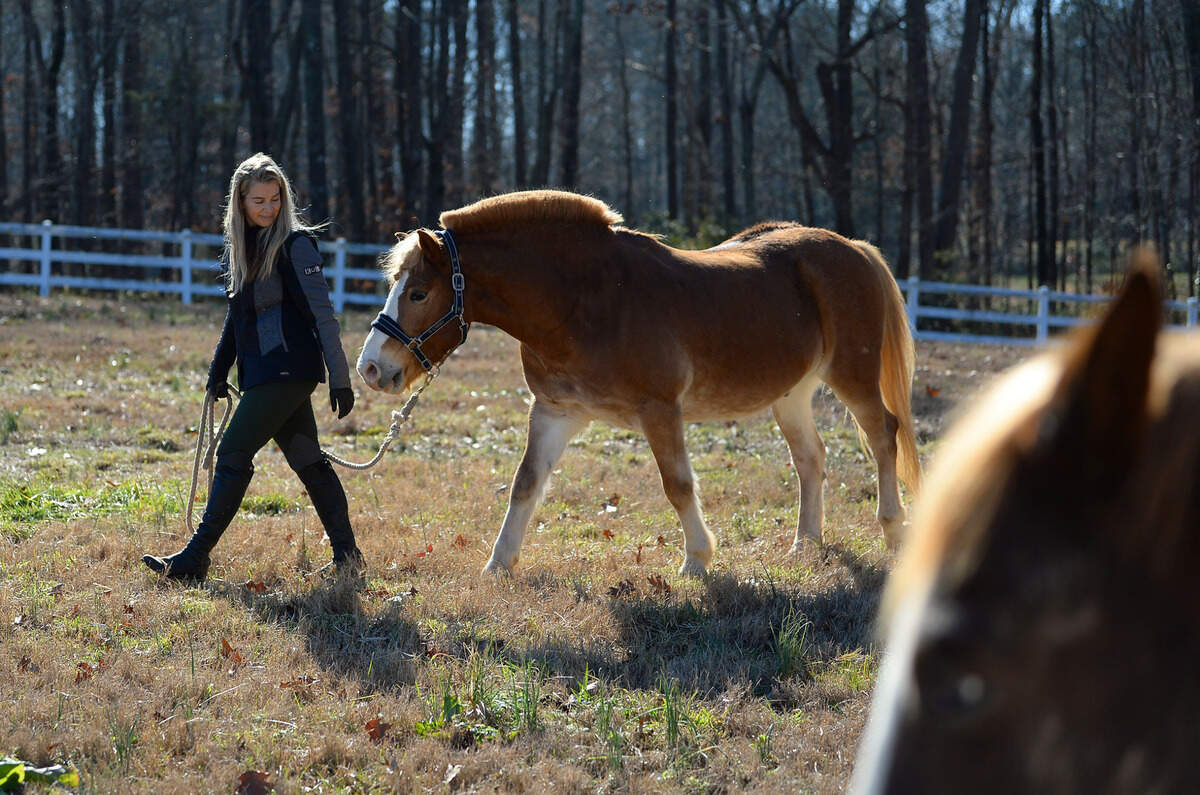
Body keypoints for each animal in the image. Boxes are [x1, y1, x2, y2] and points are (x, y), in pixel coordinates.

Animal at [356, 190, 921, 576]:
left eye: (419, 293)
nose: (371, 369)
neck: (585, 300)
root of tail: (854, 248)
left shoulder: (660, 410)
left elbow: (678, 484)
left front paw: (697, 560)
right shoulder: (555, 411)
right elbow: (526, 483)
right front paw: (499, 565)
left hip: (852, 377)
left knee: (883, 435)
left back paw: (894, 532)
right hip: (792, 395)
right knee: (810, 459)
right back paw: (806, 544)